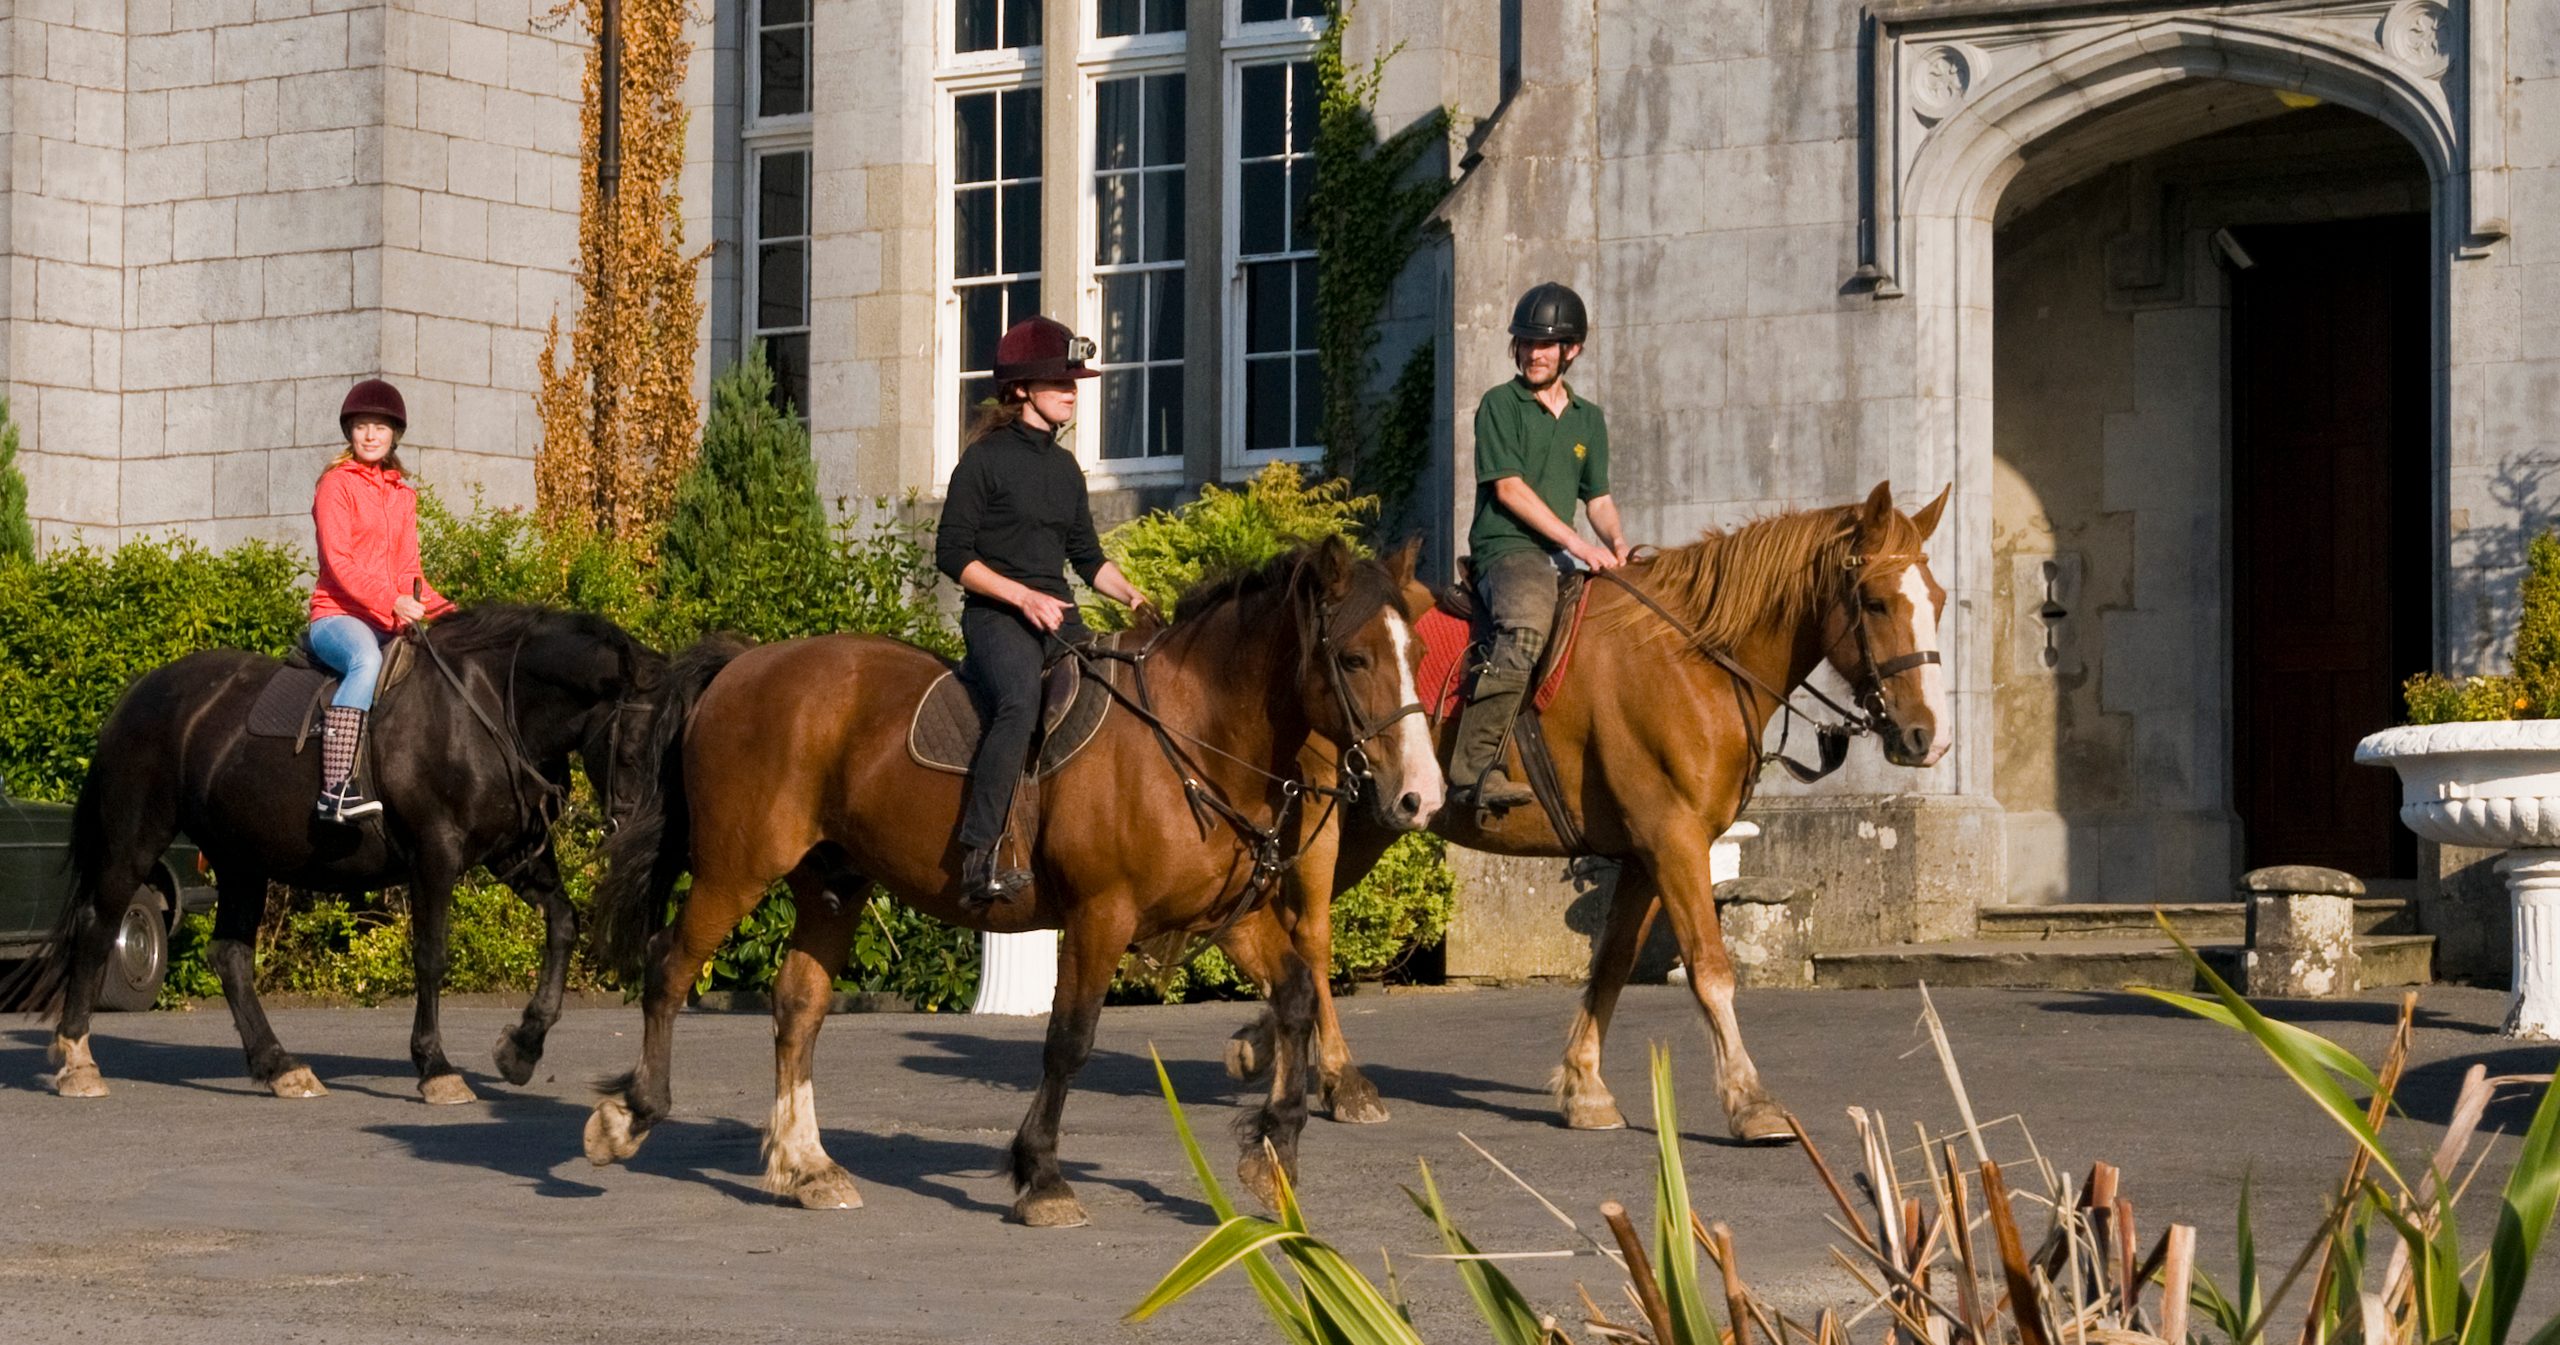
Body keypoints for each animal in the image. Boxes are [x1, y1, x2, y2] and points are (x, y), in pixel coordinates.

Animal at [27, 605, 666, 1105]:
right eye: (634, 744)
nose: (642, 835)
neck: (486, 710)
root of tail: (141, 692)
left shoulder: (513, 856)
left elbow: (564, 924)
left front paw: (523, 1048)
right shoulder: (435, 857)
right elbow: (431, 957)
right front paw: (435, 1067)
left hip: (242, 861)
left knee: (229, 956)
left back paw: (279, 1066)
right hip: (135, 840)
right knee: (98, 926)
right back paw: (78, 1060)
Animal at [580, 536, 1445, 1225]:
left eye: (1418, 653)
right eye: (1355, 657)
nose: (1420, 795)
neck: (1194, 734)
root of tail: (746, 662)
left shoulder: (1230, 917)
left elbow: (1296, 995)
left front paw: (1275, 1150)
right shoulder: (1101, 915)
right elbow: (1069, 1040)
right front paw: (1043, 1176)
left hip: (832, 885)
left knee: (798, 1006)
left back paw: (807, 1164)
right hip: (737, 868)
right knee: (668, 967)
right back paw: (630, 1117)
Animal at [1219, 482, 1952, 1142]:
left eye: (1939, 601)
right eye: (1876, 601)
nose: (1926, 737)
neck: (1693, 661)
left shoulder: (1645, 855)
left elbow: (1613, 963)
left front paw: (1585, 1087)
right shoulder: (1674, 841)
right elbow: (1711, 969)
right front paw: (1750, 1102)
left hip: (1371, 824)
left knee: (1283, 927)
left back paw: (1266, 1043)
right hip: (1327, 821)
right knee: (1313, 934)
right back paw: (1343, 1079)